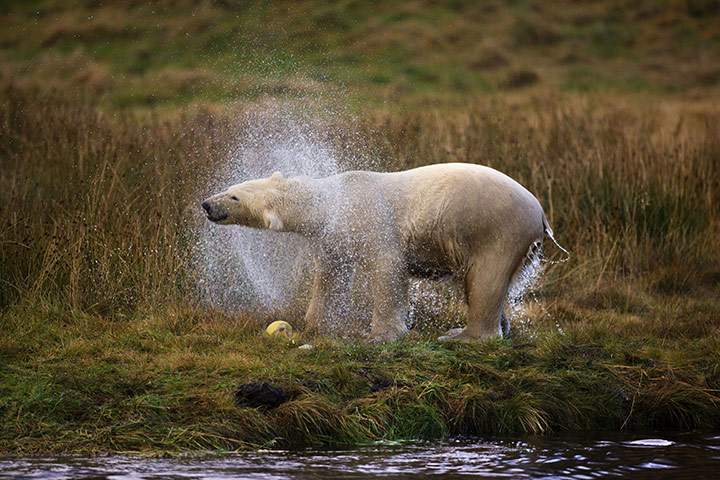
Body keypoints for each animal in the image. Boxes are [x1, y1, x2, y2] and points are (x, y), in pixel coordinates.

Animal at [200, 164, 564, 342]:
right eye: (231, 188)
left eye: (234, 198)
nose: (206, 204)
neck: (331, 199)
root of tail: (541, 213)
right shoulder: (335, 234)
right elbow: (330, 275)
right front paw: (315, 324)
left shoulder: (369, 215)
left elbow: (388, 267)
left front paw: (380, 335)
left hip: (496, 228)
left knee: (485, 277)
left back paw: (463, 336)